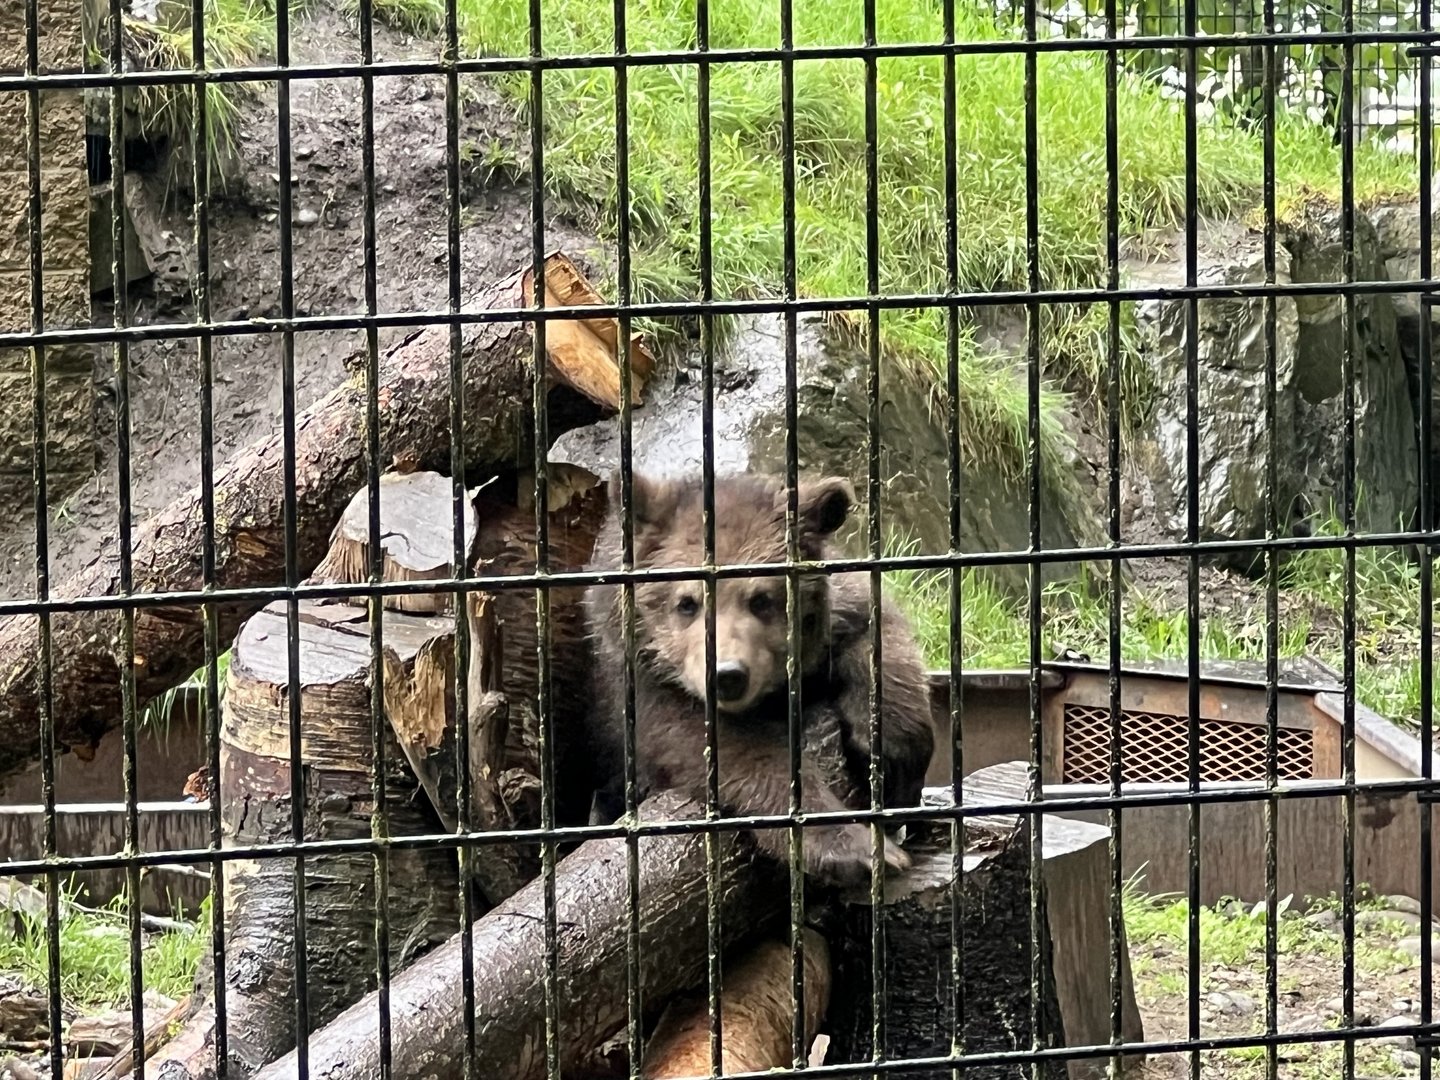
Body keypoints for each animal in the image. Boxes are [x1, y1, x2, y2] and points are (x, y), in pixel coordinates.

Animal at [581, 469, 936, 887]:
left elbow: (877, 630)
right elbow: (728, 748)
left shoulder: (838, 614)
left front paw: (891, 751)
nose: (727, 675)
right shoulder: (642, 684)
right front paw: (853, 849)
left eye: (761, 599)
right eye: (686, 603)